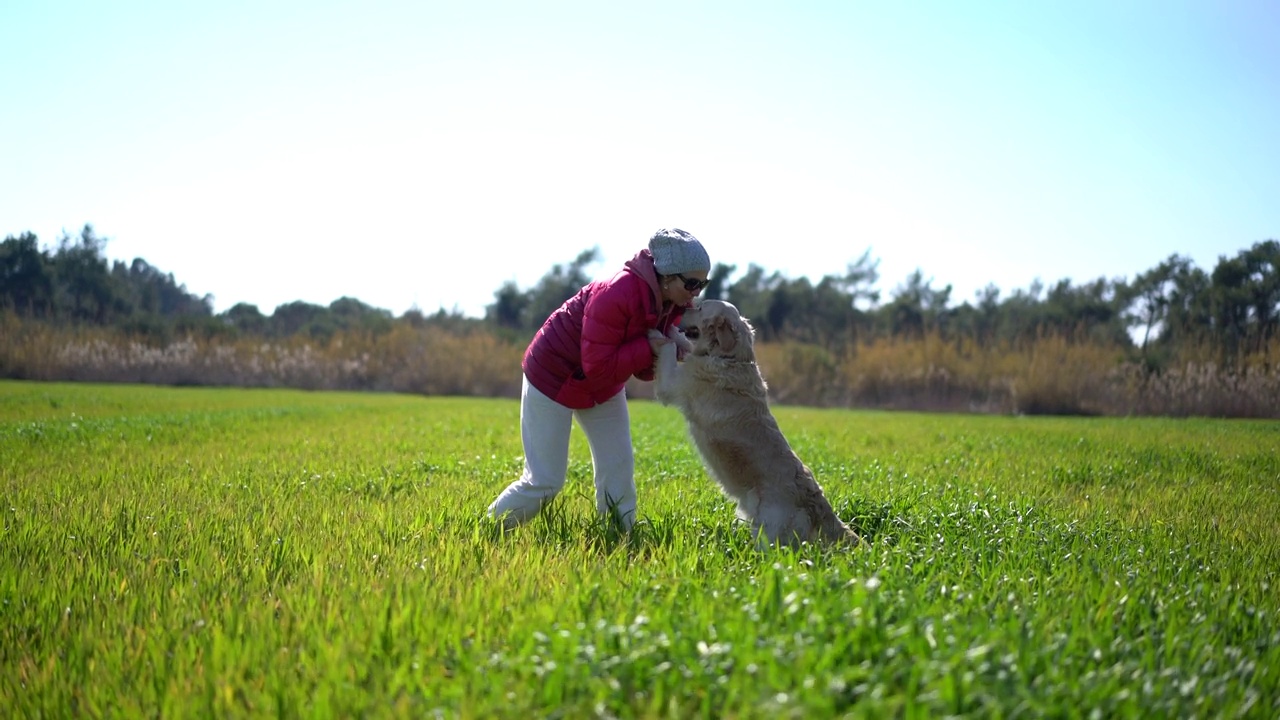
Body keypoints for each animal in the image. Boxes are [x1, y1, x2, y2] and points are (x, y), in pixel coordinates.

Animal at [650, 297, 860, 543]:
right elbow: (680, 343)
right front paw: (670, 332)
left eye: (700, 308)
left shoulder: (673, 384)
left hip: (768, 531)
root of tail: (814, 497)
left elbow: (668, 349)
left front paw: (657, 333)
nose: (681, 309)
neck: (731, 357)